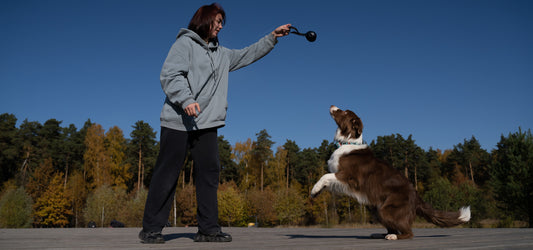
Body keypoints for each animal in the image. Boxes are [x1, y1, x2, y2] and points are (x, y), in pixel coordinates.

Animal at [310, 105, 468, 240]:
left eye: (344, 112)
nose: (332, 105)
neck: (348, 142)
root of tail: (417, 196)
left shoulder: (348, 176)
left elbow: (325, 175)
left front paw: (314, 190)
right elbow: (326, 179)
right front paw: (318, 191)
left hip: (387, 209)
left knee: (408, 232)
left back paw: (393, 237)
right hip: (376, 209)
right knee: (393, 227)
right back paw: (381, 234)